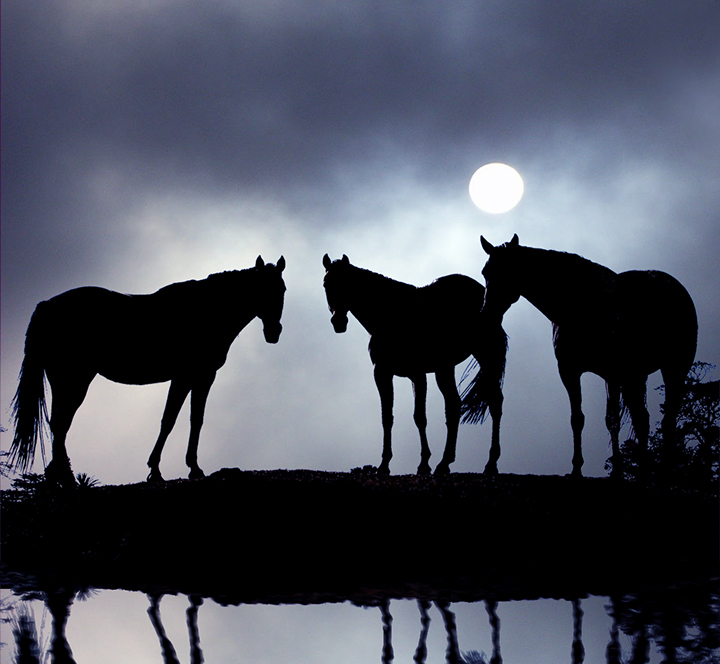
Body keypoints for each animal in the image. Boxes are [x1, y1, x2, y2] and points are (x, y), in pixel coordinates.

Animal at [9, 256, 286, 487]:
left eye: (282, 289)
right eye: (263, 288)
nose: (274, 332)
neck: (206, 311)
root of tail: (47, 305)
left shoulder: (197, 377)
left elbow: (189, 420)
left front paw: (183, 468)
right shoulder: (190, 376)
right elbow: (174, 420)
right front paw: (165, 469)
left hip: (62, 380)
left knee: (58, 424)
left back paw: (57, 477)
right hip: (75, 379)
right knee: (60, 423)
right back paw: (66, 478)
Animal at [322, 254, 507, 476]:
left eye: (347, 283)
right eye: (326, 284)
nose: (338, 322)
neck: (391, 317)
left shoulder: (417, 375)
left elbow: (419, 417)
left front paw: (423, 464)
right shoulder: (382, 373)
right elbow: (387, 417)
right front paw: (384, 465)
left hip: (485, 356)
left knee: (494, 402)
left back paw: (491, 463)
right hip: (445, 368)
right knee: (454, 406)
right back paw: (445, 463)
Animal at [478, 234, 698, 478]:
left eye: (507, 270)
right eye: (485, 272)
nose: (486, 315)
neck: (584, 304)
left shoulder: (617, 373)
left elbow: (619, 420)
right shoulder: (576, 372)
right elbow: (588, 419)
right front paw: (586, 469)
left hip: (673, 369)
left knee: (666, 418)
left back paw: (662, 468)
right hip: (636, 377)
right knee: (643, 418)